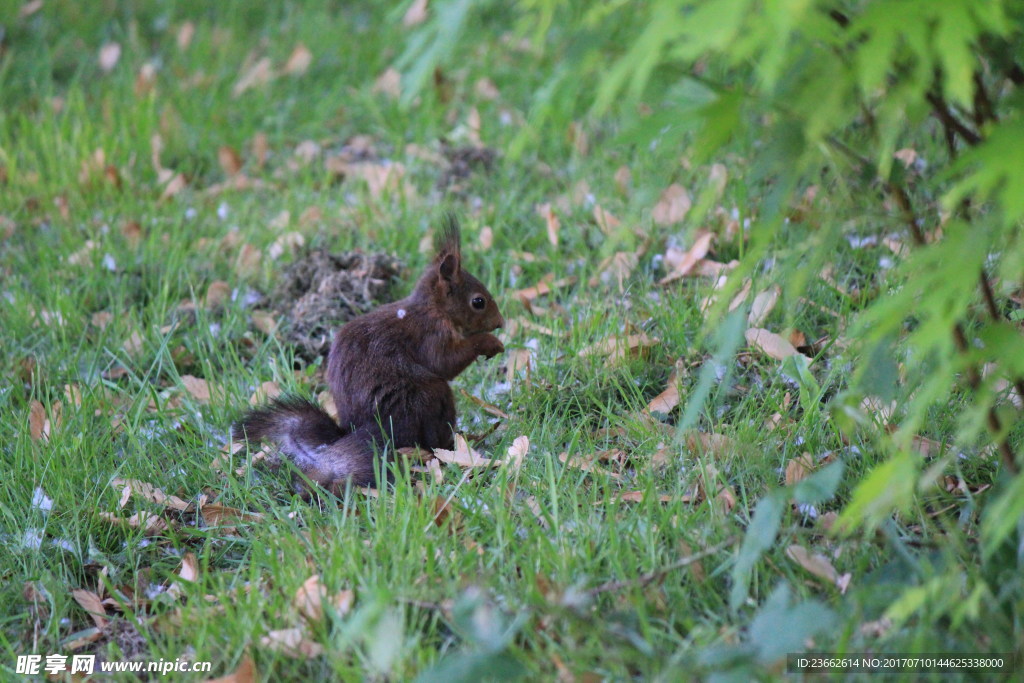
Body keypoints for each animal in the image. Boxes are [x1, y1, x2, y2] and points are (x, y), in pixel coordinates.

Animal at [232, 216, 503, 493]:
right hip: (426, 398)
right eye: (478, 302)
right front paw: (489, 342)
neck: (434, 309)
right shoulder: (430, 335)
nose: (500, 323)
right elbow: (445, 362)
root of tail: (356, 431)